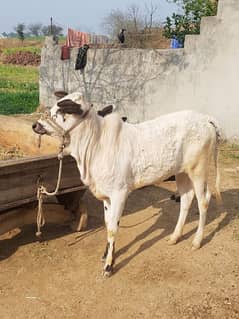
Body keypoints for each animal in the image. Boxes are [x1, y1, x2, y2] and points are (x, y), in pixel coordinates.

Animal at [32, 91, 222, 276]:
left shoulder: (119, 193)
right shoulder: (107, 197)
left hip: (198, 170)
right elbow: (108, 223)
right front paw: (106, 255)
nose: (35, 125)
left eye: (59, 112)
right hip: (181, 172)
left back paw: (197, 241)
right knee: (186, 199)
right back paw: (175, 236)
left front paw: (109, 266)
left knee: (203, 200)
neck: (96, 144)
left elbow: (112, 229)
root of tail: (205, 118)